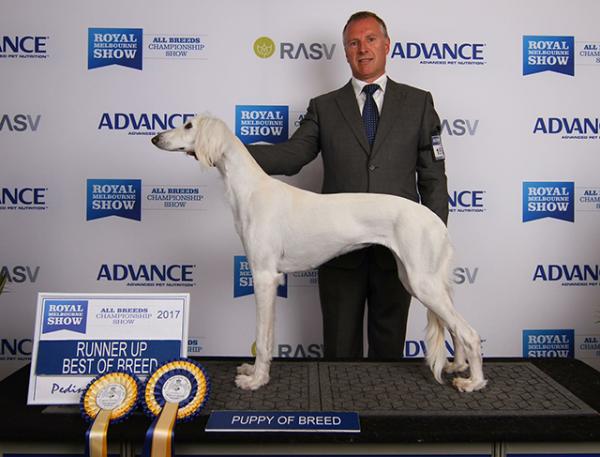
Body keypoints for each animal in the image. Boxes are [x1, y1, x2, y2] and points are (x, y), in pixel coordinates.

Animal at [151, 115, 488, 392]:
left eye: (189, 125)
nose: (155, 139)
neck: (251, 190)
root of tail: (435, 220)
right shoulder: (270, 279)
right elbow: (268, 337)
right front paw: (257, 372)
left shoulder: (263, 277)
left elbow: (262, 338)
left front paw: (256, 380)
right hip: (419, 279)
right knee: (456, 328)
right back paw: (458, 365)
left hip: (422, 282)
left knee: (470, 333)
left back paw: (473, 381)